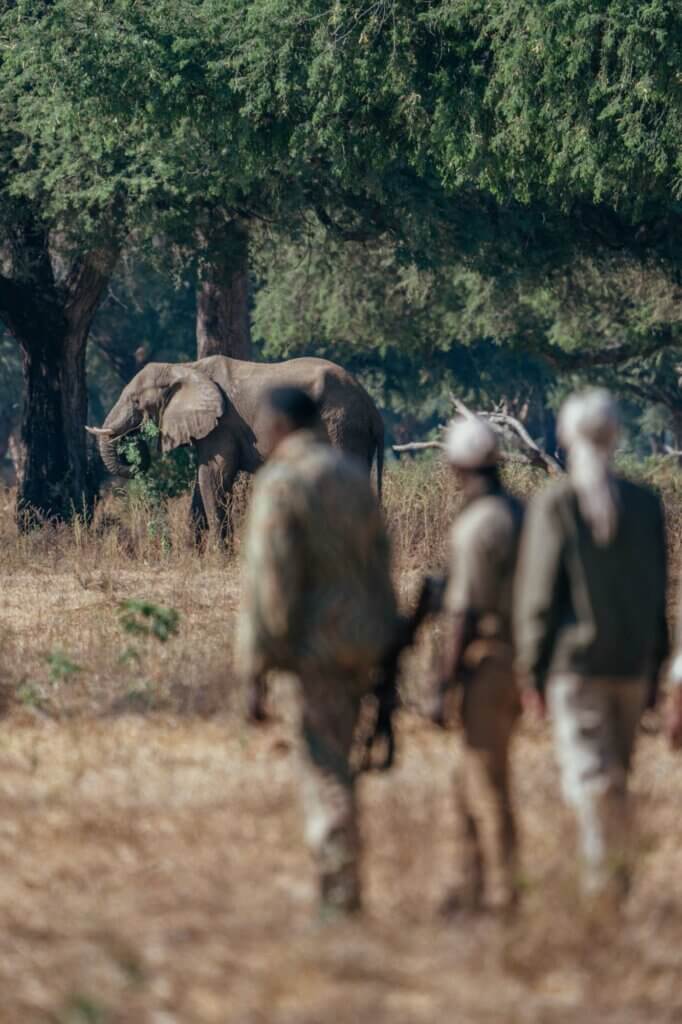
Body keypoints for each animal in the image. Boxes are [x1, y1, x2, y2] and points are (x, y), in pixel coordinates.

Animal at [86, 354, 382, 540]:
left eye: (135, 401)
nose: (134, 440)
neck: (185, 368)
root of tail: (371, 405)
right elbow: (202, 483)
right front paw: (195, 555)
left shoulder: (224, 424)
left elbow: (213, 477)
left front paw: (219, 556)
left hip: (340, 424)